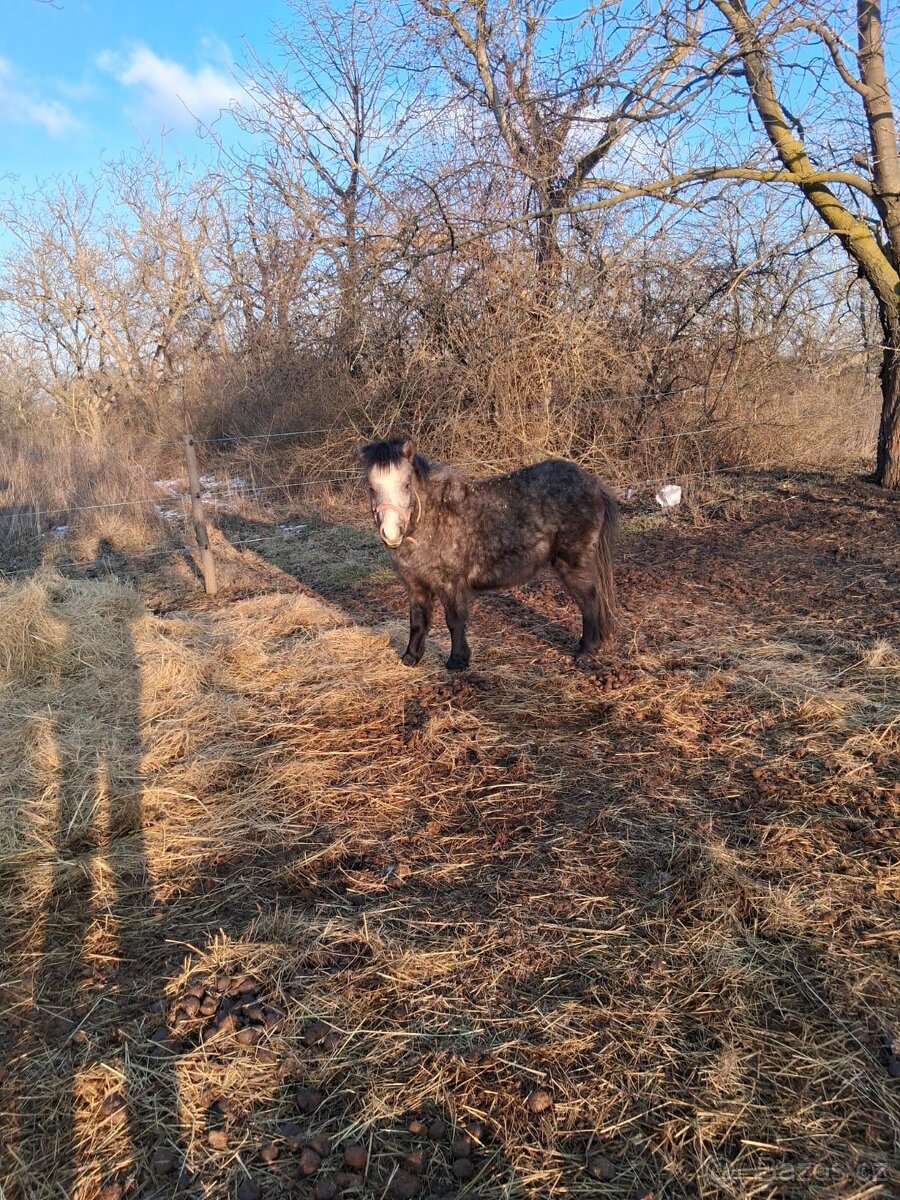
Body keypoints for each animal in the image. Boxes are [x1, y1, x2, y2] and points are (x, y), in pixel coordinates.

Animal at [359, 438, 618, 670]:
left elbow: (454, 621)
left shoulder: (450, 583)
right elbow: (417, 622)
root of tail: (593, 483)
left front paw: (457, 661)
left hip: (573, 562)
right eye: (371, 488)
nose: (391, 534)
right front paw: (411, 658)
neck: (434, 519)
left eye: (406, 485)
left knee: (590, 601)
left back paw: (586, 652)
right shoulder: (415, 585)